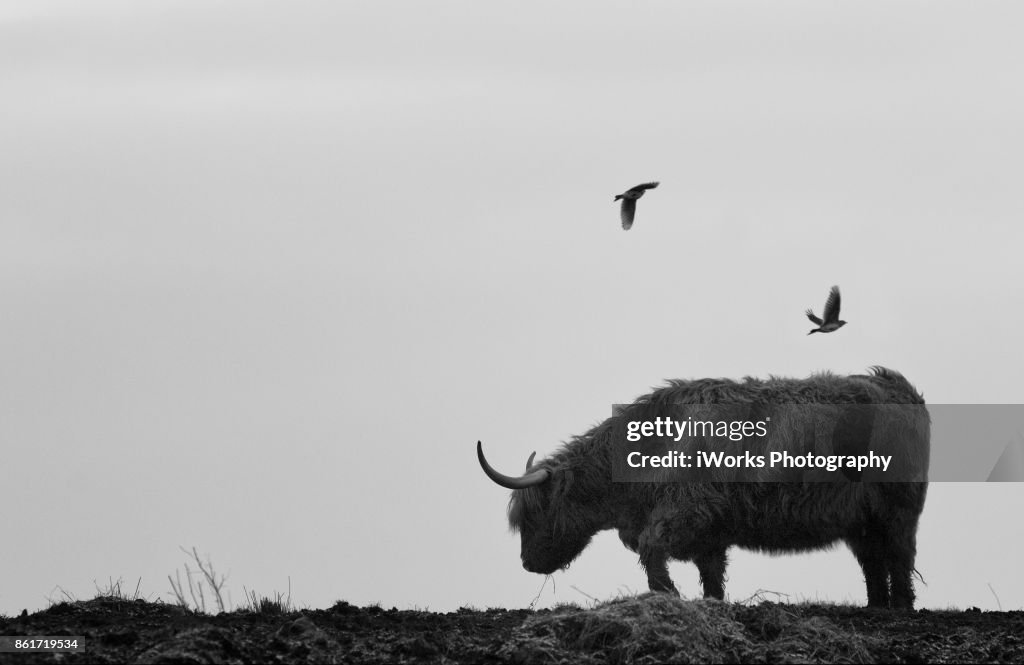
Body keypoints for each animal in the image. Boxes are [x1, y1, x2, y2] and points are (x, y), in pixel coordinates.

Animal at [477, 367, 929, 609]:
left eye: (534, 513)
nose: (527, 564)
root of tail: (898, 386)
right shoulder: (711, 534)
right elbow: (711, 576)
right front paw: (712, 603)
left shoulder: (687, 511)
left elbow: (651, 548)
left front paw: (669, 594)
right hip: (861, 522)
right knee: (873, 564)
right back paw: (876, 607)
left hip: (899, 511)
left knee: (900, 558)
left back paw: (902, 609)